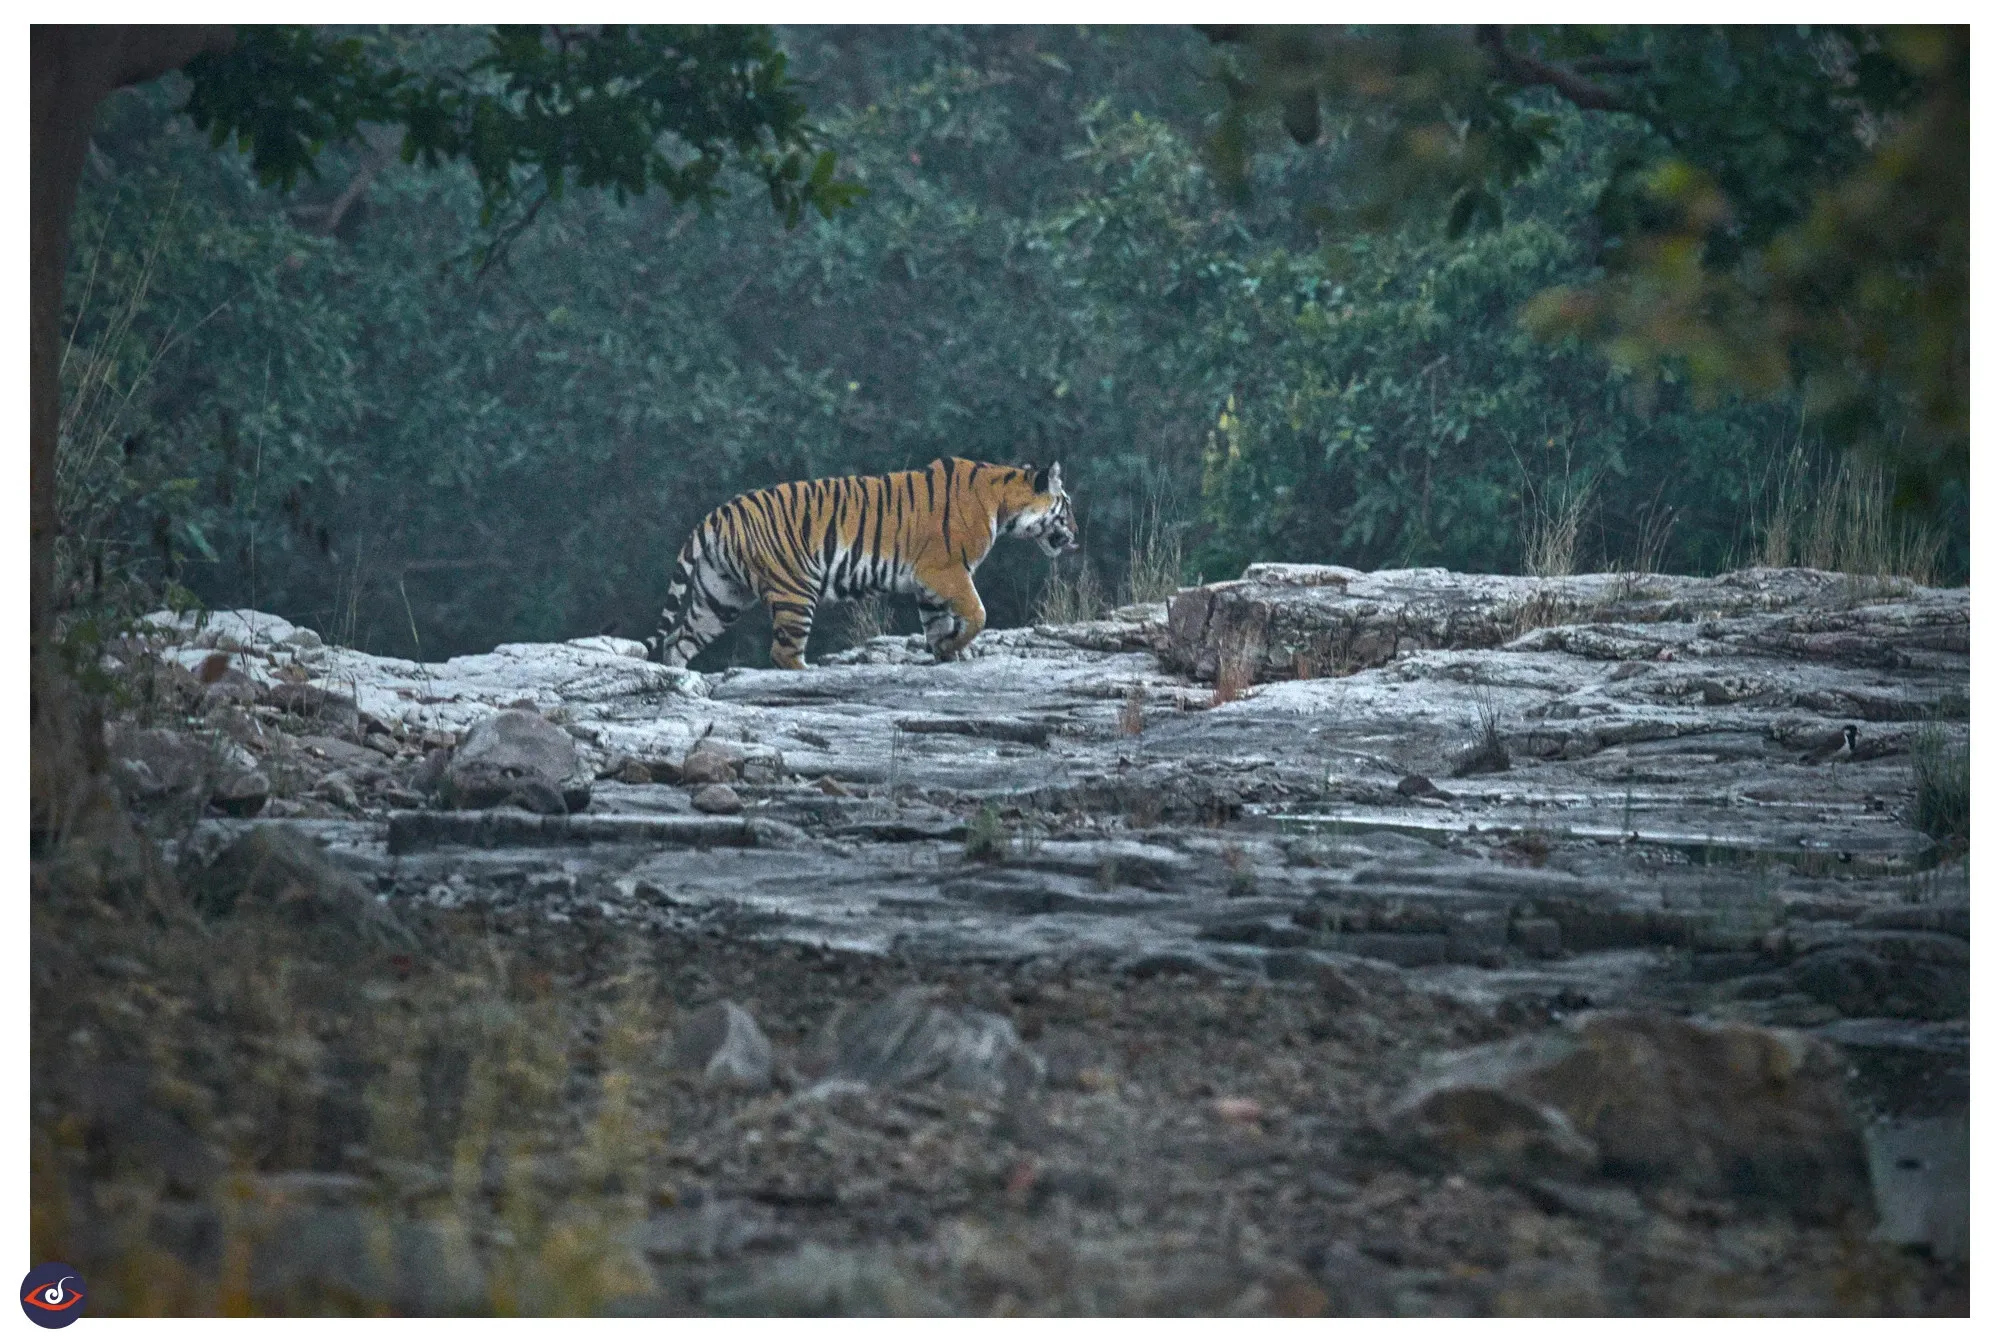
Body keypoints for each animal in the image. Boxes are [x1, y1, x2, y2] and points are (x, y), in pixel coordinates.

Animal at [648, 457, 1079, 670]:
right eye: (1067, 506)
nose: (1075, 532)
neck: (1003, 502)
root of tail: (716, 515)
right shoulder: (946, 571)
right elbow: (977, 613)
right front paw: (955, 647)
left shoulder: (930, 585)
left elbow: (938, 623)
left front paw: (945, 653)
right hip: (795, 589)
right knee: (783, 653)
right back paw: (808, 673)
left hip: (721, 596)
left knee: (678, 640)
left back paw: (682, 683)